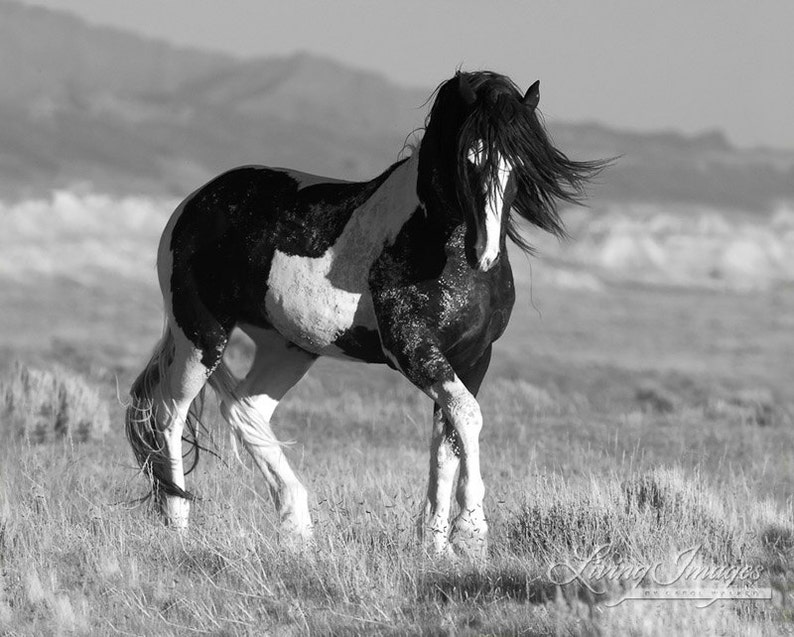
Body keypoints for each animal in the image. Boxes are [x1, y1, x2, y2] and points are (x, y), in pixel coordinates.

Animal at [127, 72, 604, 556]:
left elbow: (448, 439)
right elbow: (468, 417)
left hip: (287, 346)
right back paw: (178, 524)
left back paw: (298, 530)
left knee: (244, 410)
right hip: (201, 336)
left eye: (519, 168)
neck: (429, 240)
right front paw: (471, 533)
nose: (483, 256)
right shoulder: (412, 350)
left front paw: (437, 545)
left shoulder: (473, 357)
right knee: (169, 414)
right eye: (469, 160)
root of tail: (194, 203)